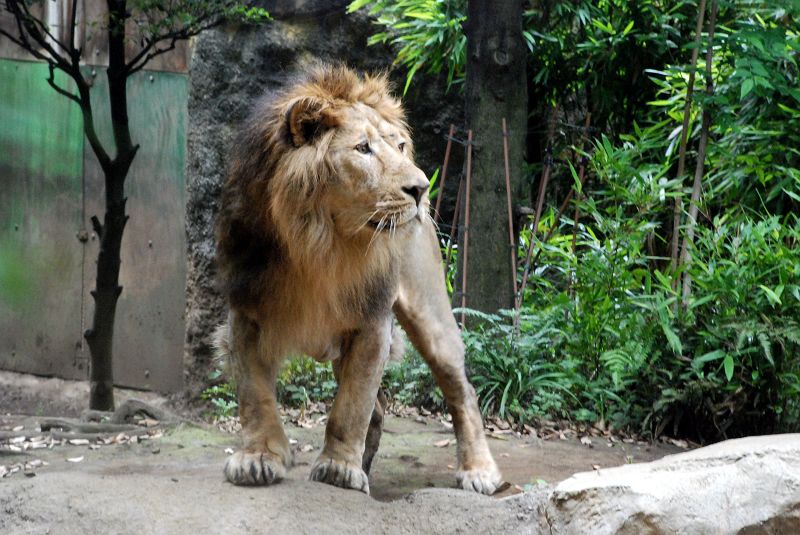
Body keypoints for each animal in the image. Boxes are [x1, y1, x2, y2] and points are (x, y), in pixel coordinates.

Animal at [212, 65, 500, 496]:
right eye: (363, 149)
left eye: (400, 146)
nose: (421, 188)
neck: (322, 245)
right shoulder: (245, 313)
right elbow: (255, 397)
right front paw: (259, 458)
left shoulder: (370, 323)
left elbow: (351, 406)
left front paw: (337, 469)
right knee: (379, 411)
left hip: (431, 315)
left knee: (462, 390)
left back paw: (479, 470)